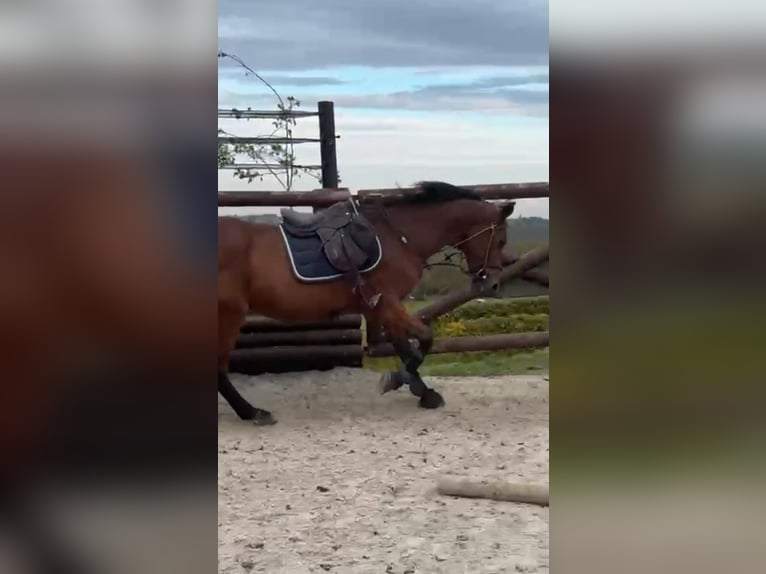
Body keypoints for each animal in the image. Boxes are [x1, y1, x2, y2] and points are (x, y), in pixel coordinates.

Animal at [217, 181, 516, 425]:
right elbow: (424, 339)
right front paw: (397, 380)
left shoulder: (381, 307)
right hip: (230, 314)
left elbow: (404, 346)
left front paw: (421, 391)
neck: (399, 237)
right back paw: (252, 412)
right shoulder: (389, 303)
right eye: (501, 239)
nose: (492, 284)